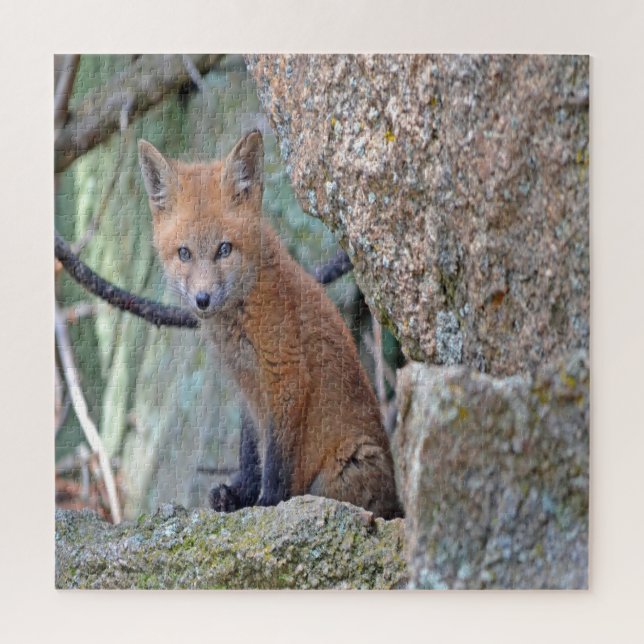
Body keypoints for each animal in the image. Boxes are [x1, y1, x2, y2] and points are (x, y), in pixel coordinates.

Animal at [138, 130, 402, 519]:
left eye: (224, 249)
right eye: (184, 253)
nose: (202, 299)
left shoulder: (285, 375)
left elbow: (276, 460)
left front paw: (268, 503)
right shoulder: (246, 388)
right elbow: (251, 453)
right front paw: (241, 496)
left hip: (349, 464)